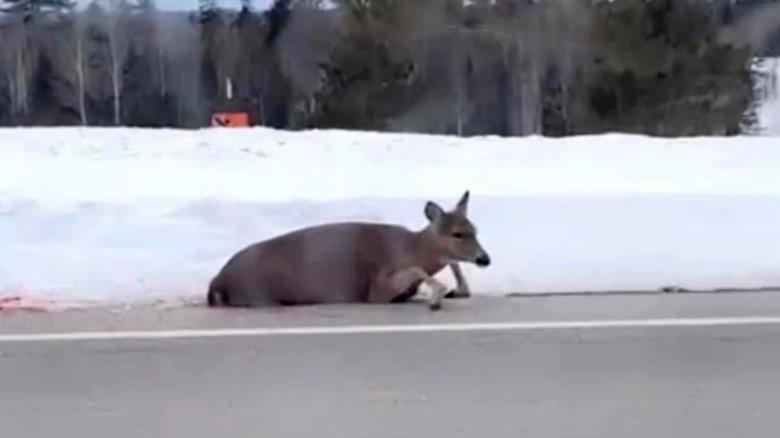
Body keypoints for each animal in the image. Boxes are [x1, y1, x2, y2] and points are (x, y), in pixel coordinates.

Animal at [206, 191, 490, 311]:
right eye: (457, 233)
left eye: (475, 229)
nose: (484, 259)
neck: (412, 246)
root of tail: (218, 282)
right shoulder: (376, 289)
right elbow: (413, 271)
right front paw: (437, 296)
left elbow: (452, 264)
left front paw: (456, 290)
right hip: (259, 294)